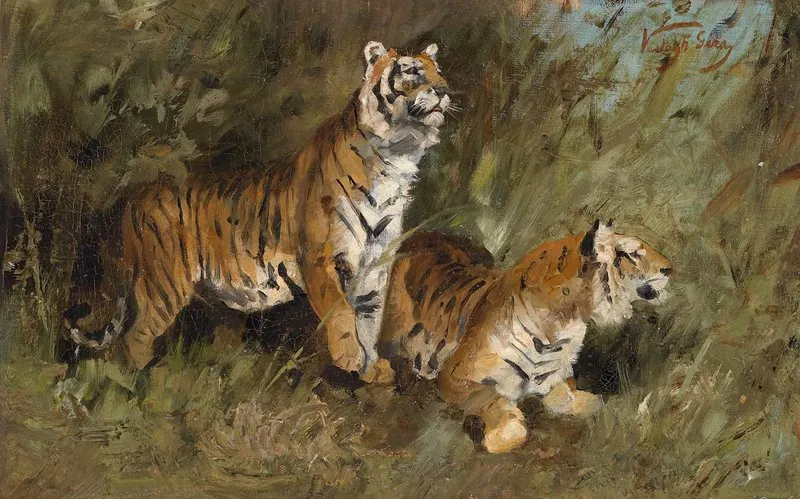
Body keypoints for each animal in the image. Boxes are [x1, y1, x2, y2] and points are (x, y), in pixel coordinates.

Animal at [64, 41, 451, 384]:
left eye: (439, 71)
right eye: (413, 71)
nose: (445, 91)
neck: (397, 155)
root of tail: (136, 197)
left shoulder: (375, 265)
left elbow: (370, 318)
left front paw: (371, 368)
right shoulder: (320, 257)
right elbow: (341, 313)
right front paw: (349, 358)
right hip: (163, 285)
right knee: (133, 341)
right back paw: (135, 386)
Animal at [381, 220, 672, 453]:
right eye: (631, 254)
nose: (670, 268)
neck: (562, 325)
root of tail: (424, 233)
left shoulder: (554, 378)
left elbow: (582, 400)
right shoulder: (454, 375)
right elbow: (490, 398)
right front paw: (500, 435)